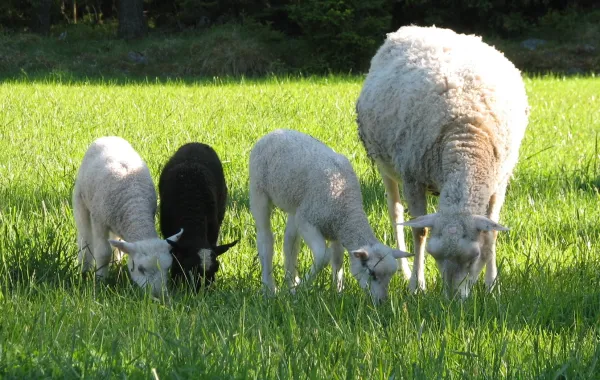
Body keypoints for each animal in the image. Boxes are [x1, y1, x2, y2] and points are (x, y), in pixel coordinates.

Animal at [72, 135, 183, 298]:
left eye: (168, 268)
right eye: (141, 269)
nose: (159, 296)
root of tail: (108, 137)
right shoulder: (99, 220)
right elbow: (103, 252)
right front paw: (100, 281)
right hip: (81, 201)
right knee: (85, 238)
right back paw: (84, 268)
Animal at [248, 129, 412, 302]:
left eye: (390, 276)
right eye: (371, 273)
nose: (382, 302)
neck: (347, 209)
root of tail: (274, 132)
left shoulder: (336, 231)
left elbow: (337, 260)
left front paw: (337, 290)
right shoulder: (308, 221)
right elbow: (323, 255)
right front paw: (303, 287)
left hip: (296, 206)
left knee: (290, 243)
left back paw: (291, 282)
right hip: (259, 191)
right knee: (265, 239)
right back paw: (270, 288)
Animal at [356, 26, 528, 296]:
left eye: (474, 256)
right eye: (435, 256)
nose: (452, 299)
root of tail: (415, 28)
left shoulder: (499, 182)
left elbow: (492, 233)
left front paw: (491, 284)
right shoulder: (413, 178)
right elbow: (420, 231)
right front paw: (417, 285)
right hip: (386, 165)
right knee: (395, 213)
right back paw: (404, 271)